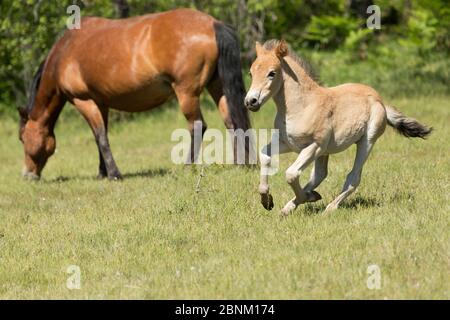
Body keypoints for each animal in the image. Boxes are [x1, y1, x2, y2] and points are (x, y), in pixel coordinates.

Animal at [18, 8, 250, 180]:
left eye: (22, 139)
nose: (27, 174)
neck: (64, 53)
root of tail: (212, 23)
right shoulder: (101, 103)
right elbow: (100, 136)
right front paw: (102, 172)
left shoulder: (84, 101)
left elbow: (101, 137)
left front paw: (114, 174)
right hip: (217, 86)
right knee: (231, 121)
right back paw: (240, 164)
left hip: (187, 93)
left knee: (198, 127)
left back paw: (186, 168)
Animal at [246, 39, 432, 215]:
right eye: (251, 72)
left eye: (272, 73)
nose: (251, 101)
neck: (302, 106)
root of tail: (380, 101)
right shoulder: (287, 143)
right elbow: (265, 155)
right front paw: (267, 201)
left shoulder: (314, 146)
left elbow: (291, 174)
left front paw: (305, 198)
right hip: (325, 152)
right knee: (319, 175)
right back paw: (294, 205)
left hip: (366, 141)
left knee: (353, 177)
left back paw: (327, 207)